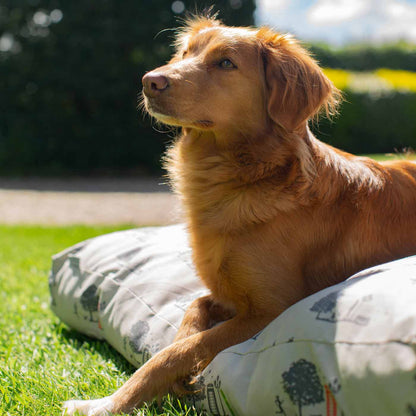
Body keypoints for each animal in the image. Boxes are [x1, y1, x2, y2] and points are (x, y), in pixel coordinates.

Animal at [63, 14, 416, 414]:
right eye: (185, 53)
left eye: (226, 63)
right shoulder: (228, 295)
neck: (240, 174)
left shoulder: (271, 309)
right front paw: (178, 367)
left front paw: (107, 402)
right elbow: (192, 312)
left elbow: (174, 352)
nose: (150, 80)